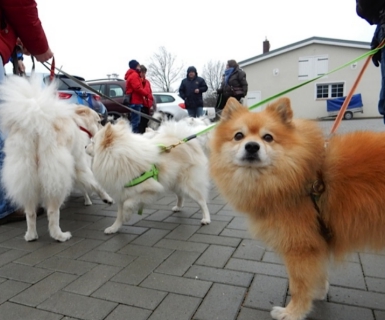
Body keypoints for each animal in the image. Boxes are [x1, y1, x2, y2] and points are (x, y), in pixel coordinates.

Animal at [0, 75, 112, 242]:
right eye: (98, 121)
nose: (102, 130)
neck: (79, 124)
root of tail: (35, 123)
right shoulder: (80, 164)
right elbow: (95, 183)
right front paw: (107, 198)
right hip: (56, 178)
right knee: (52, 212)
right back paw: (60, 235)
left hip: (26, 176)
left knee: (30, 212)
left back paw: (31, 235)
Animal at [208, 97, 384, 320]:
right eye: (238, 136)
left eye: (268, 137)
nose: (252, 146)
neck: (302, 175)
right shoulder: (317, 243)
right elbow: (318, 275)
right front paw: (318, 292)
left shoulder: (301, 247)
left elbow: (298, 285)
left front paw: (293, 312)